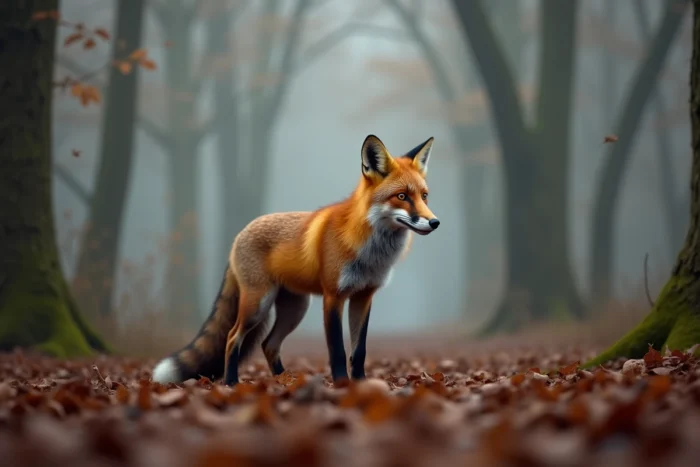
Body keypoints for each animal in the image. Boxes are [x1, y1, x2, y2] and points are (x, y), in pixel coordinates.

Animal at [151, 134, 440, 386]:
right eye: (402, 196)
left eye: (424, 196)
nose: (435, 222)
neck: (370, 251)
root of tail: (240, 234)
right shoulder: (333, 297)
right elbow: (337, 350)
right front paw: (342, 384)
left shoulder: (363, 296)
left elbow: (359, 351)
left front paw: (360, 383)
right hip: (258, 304)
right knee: (233, 338)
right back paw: (231, 382)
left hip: (295, 309)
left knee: (268, 344)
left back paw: (284, 380)